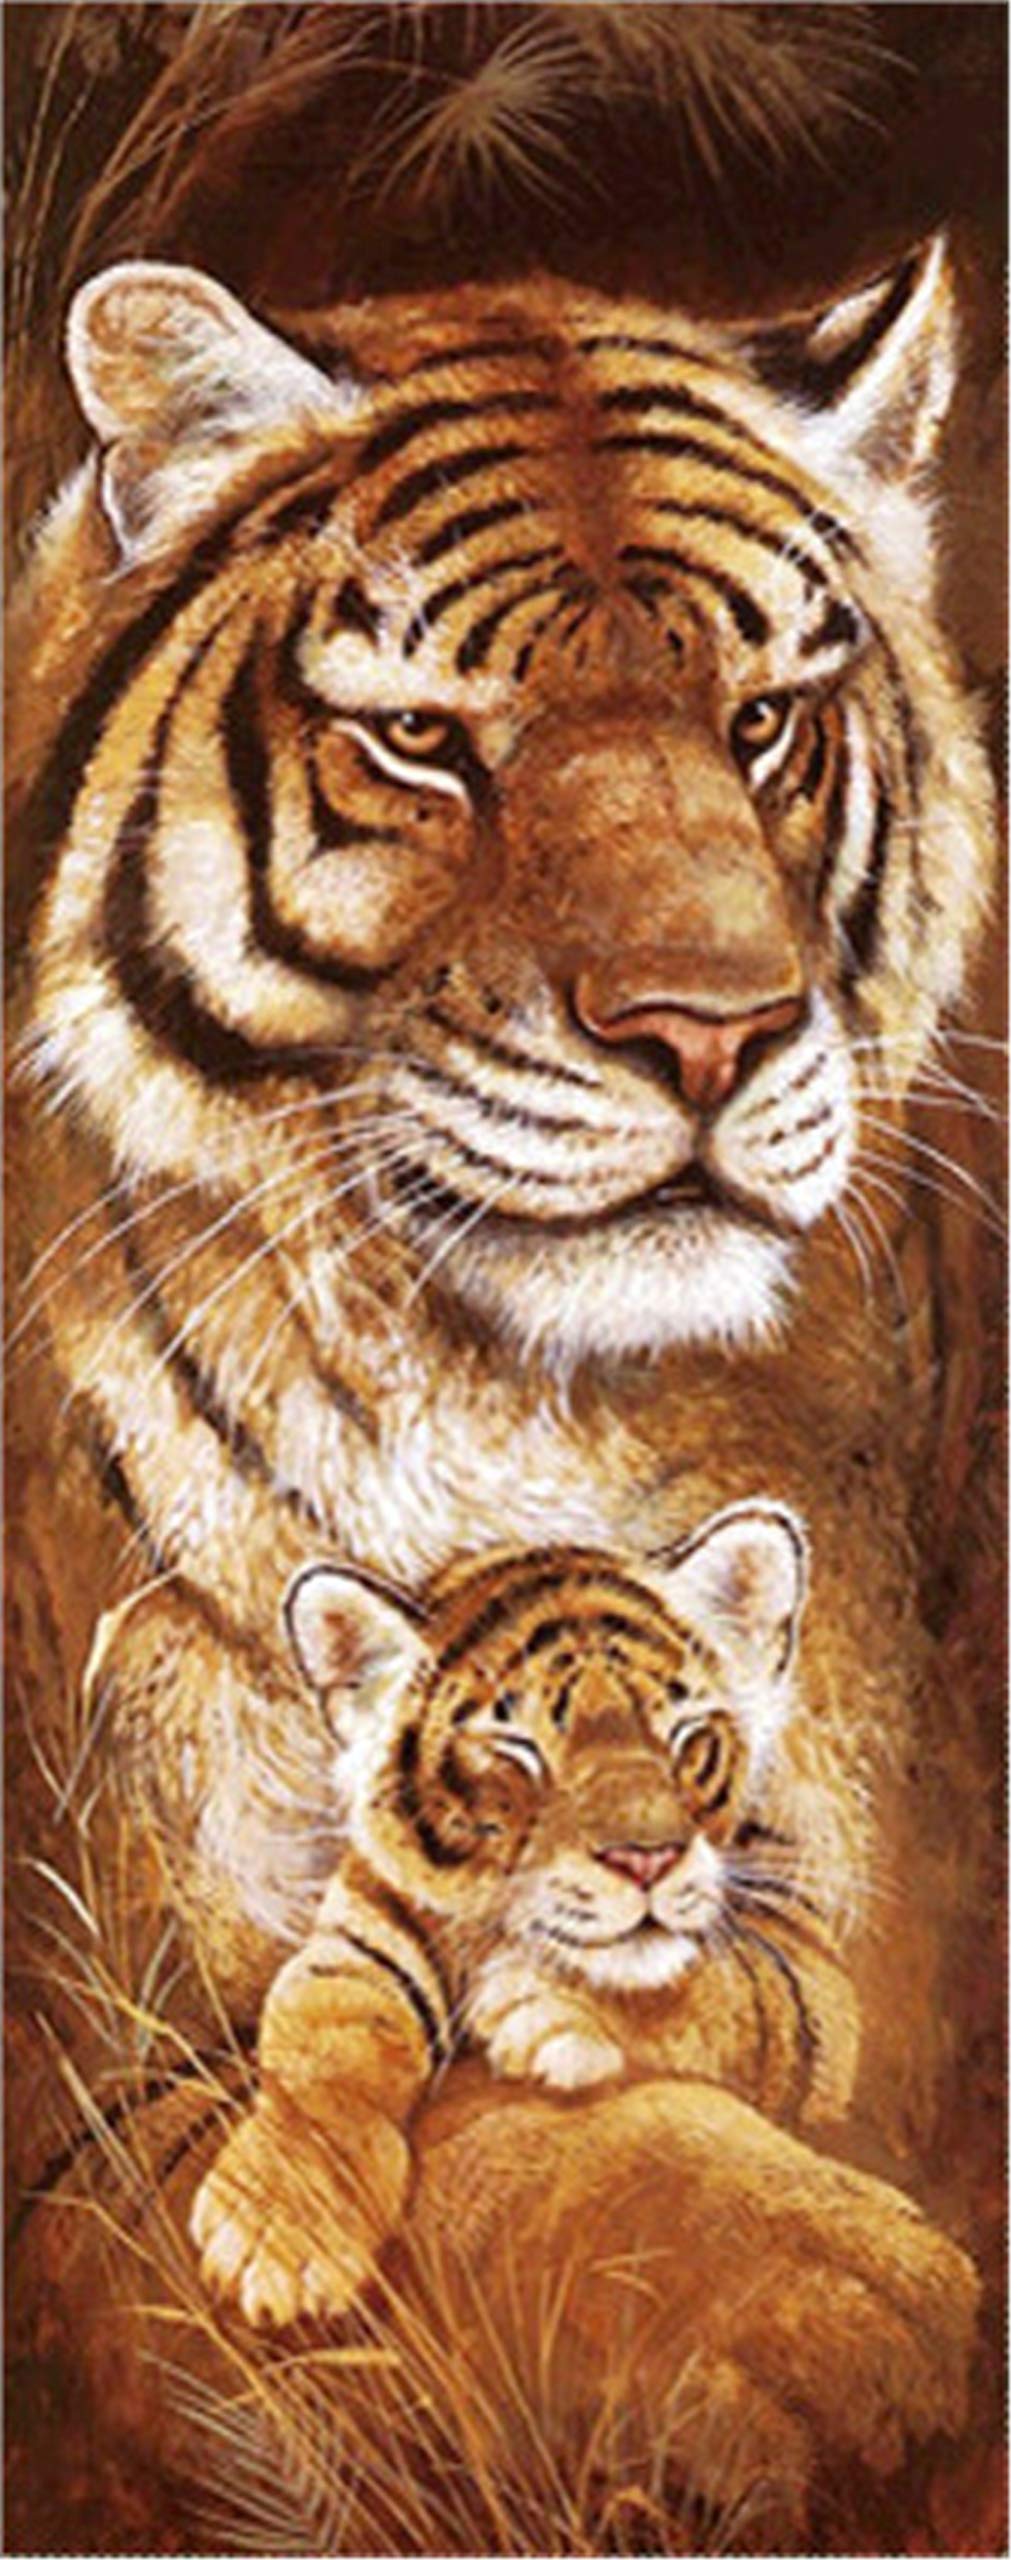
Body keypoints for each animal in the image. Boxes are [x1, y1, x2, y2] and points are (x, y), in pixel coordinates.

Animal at [190, 1501, 862, 2328]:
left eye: (682, 1733)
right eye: (518, 1748)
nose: (647, 1858)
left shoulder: (805, 1960)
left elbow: (718, 1991)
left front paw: (546, 2006)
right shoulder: (360, 1939)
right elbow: (323, 2042)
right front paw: (279, 2227)